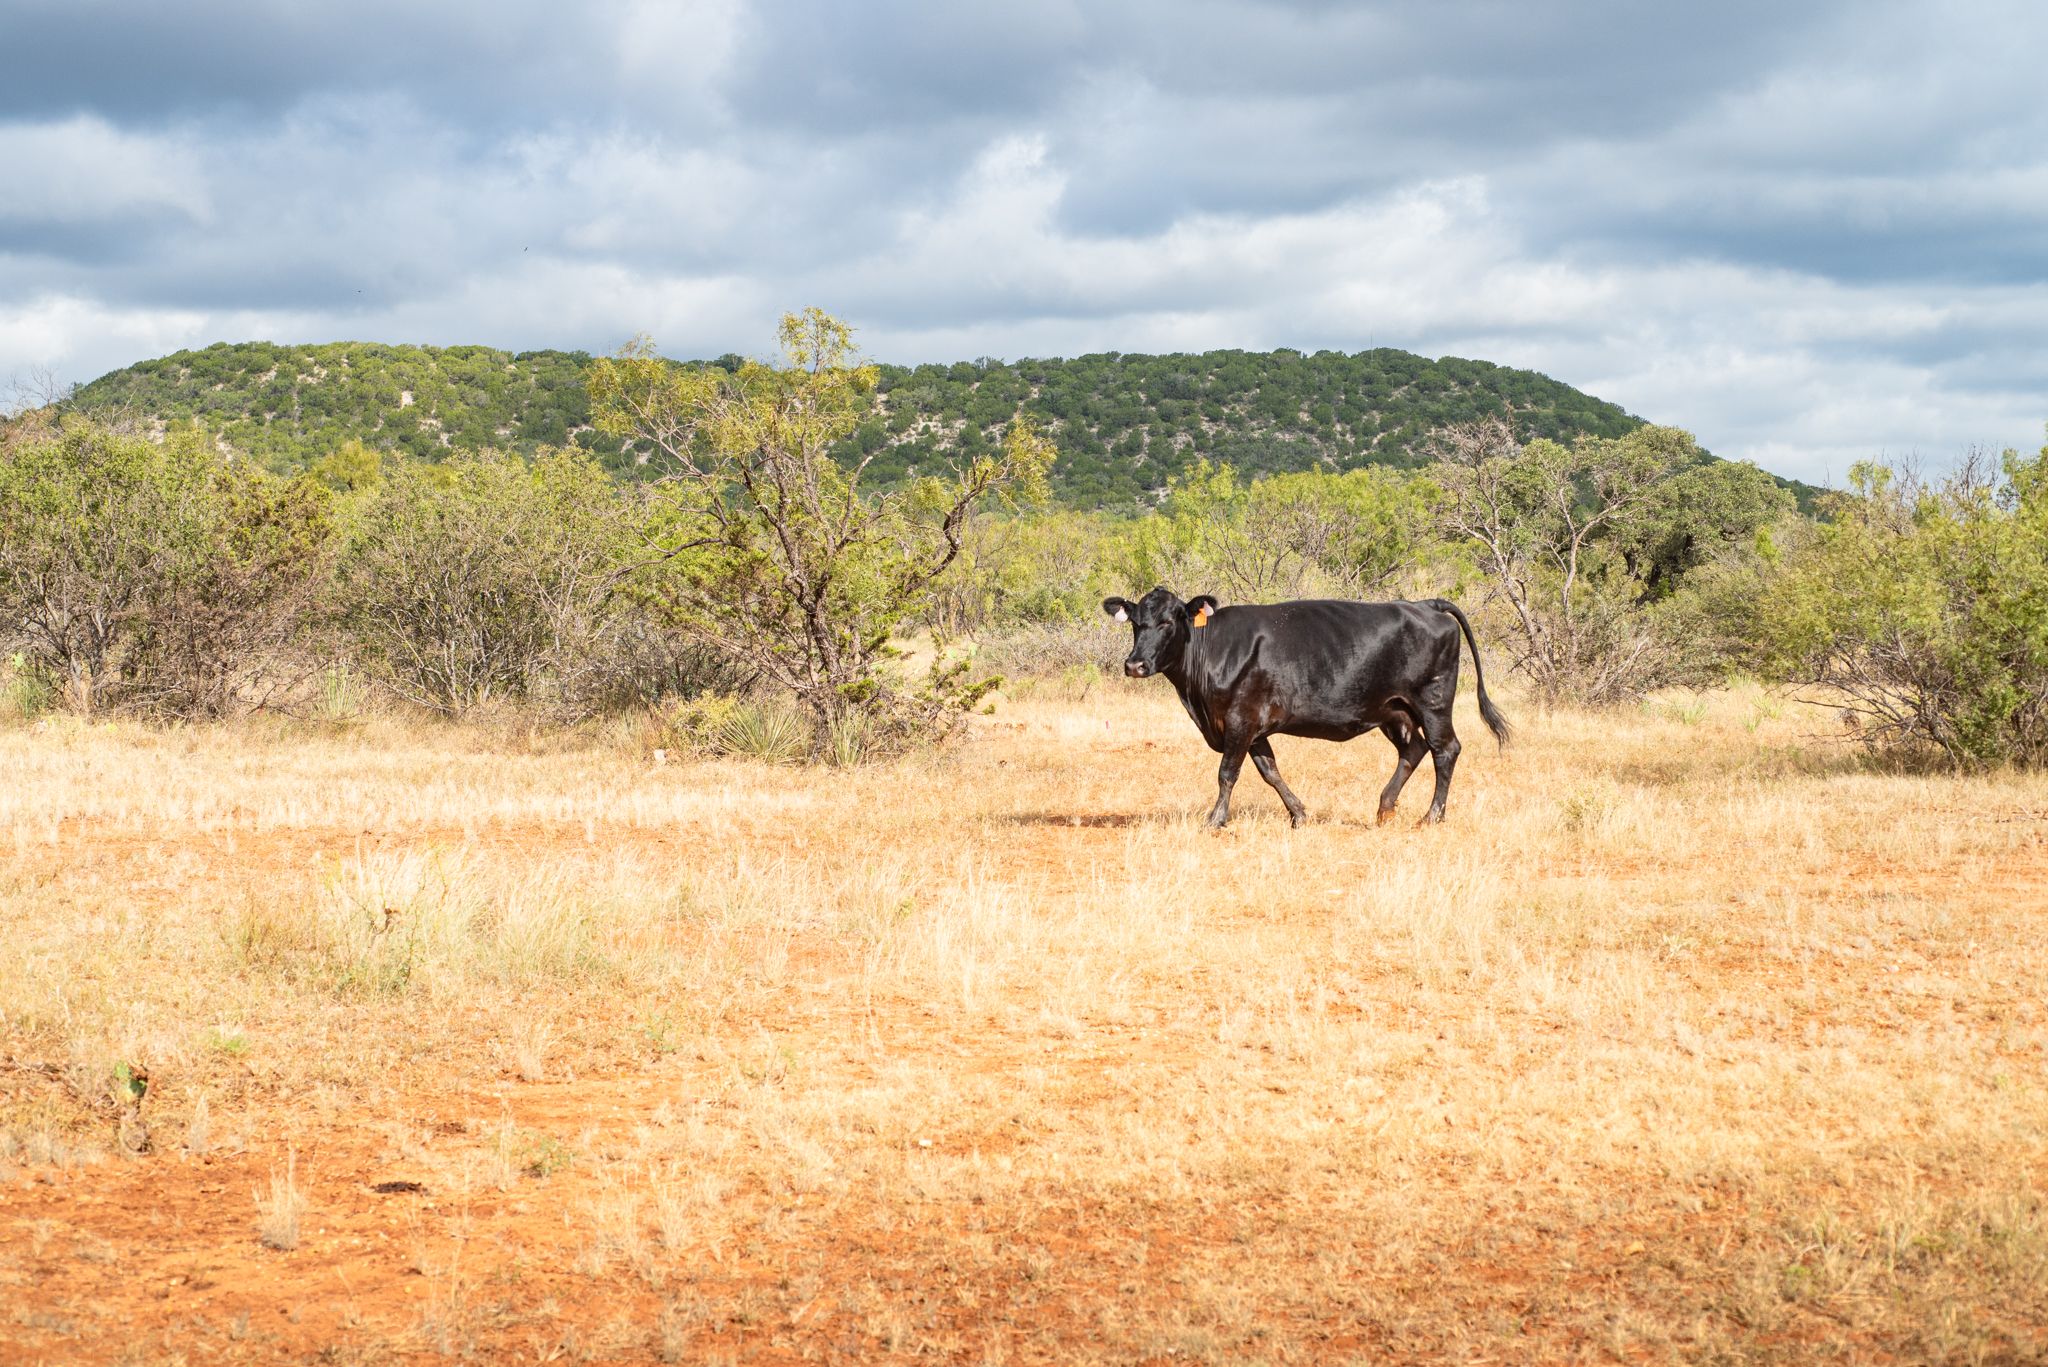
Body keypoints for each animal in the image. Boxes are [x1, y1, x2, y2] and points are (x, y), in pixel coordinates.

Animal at [1097, 586, 1515, 827]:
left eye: (1169, 622)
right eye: (1135, 622)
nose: (1135, 665)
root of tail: (1425, 604)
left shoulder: (1240, 720)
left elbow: (1227, 773)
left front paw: (1215, 819)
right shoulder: (1254, 727)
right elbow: (1269, 771)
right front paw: (1298, 814)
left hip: (1433, 700)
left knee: (1445, 749)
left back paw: (1431, 816)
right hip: (1395, 710)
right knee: (1414, 750)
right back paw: (1384, 808)